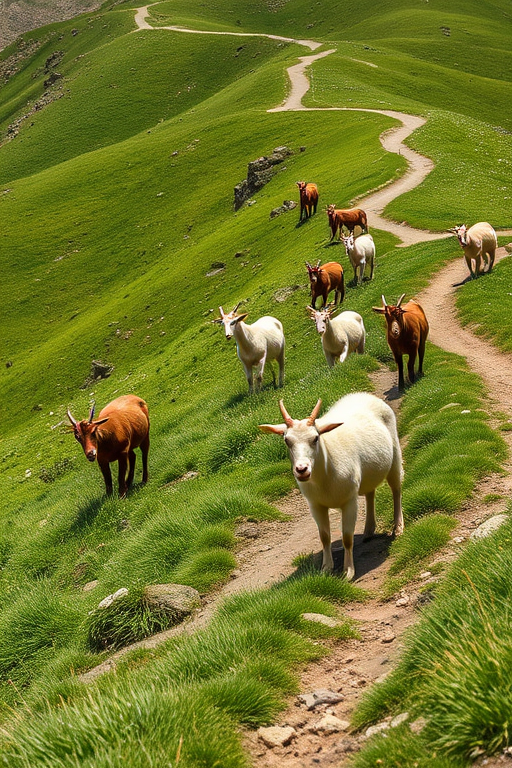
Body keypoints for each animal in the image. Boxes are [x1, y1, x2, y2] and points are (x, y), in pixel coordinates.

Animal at [259, 393, 403, 580]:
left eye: (315, 438)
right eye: (287, 440)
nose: (302, 470)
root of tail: (363, 394)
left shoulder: (349, 501)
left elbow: (347, 538)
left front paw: (348, 571)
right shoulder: (316, 505)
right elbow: (324, 537)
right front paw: (326, 568)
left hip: (395, 455)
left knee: (396, 489)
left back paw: (398, 527)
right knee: (370, 492)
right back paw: (368, 531)